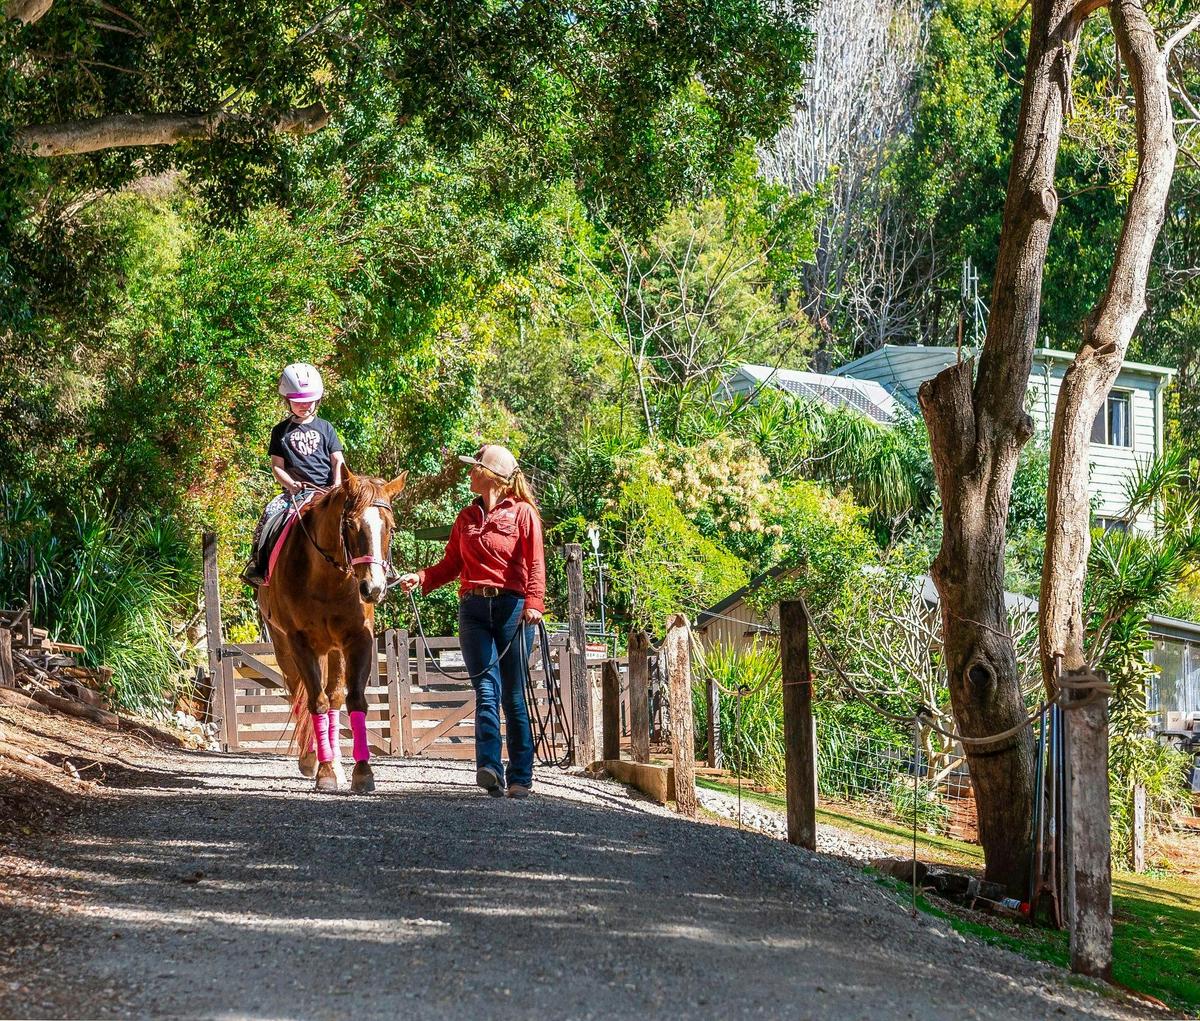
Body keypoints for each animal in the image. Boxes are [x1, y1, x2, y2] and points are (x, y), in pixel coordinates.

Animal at [258, 469, 407, 793]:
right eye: (350, 524)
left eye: (390, 528)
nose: (373, 588)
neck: (327, 579)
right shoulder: (300, 643)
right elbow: (316, 701)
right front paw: (324, 770)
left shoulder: (358, 640)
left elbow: (354, 700)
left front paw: (361, 771)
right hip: (284, 647)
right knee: (300, 697)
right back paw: (312, 758)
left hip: (334, 650)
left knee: (335, 698)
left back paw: (337, 762)